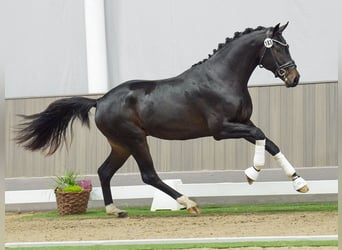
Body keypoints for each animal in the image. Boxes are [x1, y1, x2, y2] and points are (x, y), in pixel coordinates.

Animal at [16, 23, 308, 217]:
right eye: (279, 49)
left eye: (287, 46)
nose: (294, 78)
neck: (221, 78)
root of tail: (100, 101)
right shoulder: (222, 129)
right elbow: (261, 136)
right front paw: (251, 174)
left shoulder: (243, 123)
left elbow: (269, 142)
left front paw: (299, 183)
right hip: (135, 139)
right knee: (148, 175)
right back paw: (189, 203)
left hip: (121, 144)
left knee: (105, 171)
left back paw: (114, 210)